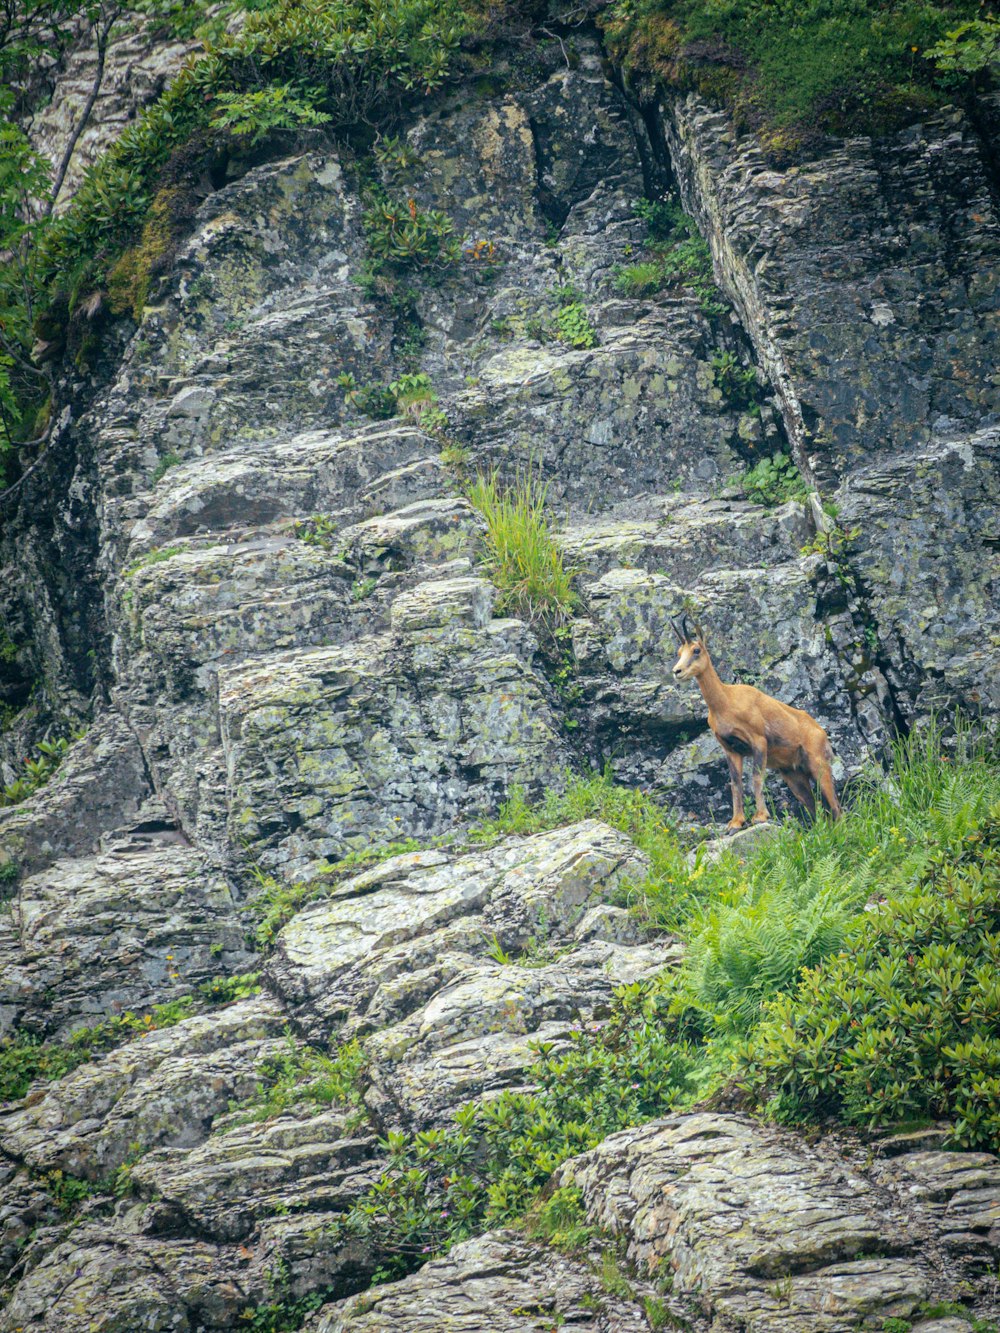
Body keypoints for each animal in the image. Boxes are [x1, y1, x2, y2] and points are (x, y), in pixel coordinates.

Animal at [669, 610, 842, 826]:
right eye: (678, 652)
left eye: (696, 650)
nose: (677, 671)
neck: (726, 702)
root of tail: (822, 733)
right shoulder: (731, 749)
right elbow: (735, 783)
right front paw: (735, 822)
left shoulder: (759, 741)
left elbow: (756, 777)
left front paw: (760, 816)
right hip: (793, 774)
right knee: (816, 808)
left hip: (818, 764)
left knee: (836, 808)